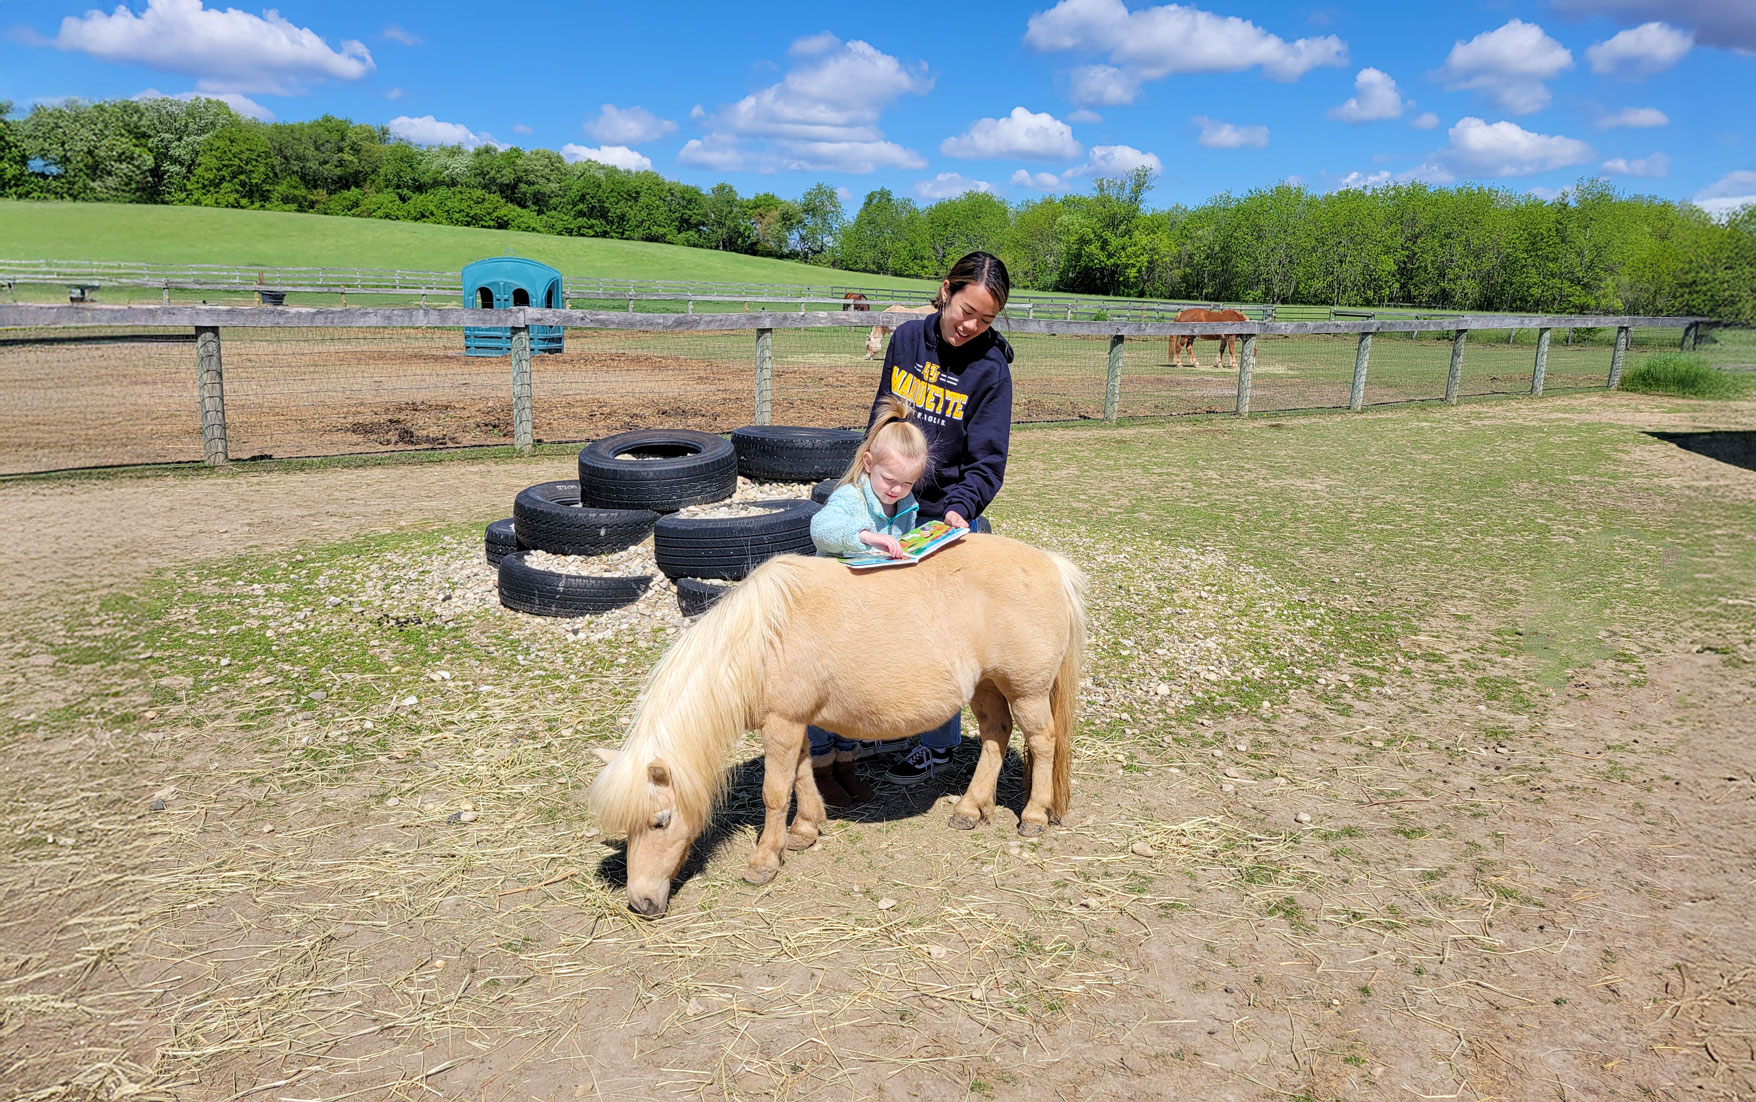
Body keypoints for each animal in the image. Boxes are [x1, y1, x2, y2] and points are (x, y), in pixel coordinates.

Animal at [589, 535, 1086, 917]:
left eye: (661, 821)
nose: (642, 902)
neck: (762, 639)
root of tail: (1051, 565)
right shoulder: (795, 724)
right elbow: (802, 775)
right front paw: (805, 830)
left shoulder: (782, 724)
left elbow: (775, 791)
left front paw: (764, 860)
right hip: (986, 687)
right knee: (995, 737)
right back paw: (970, 809)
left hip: (1026, 692)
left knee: (1042, 742)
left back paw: (1034, 817)